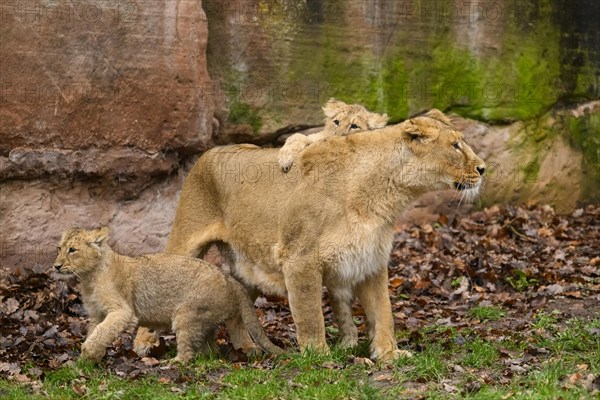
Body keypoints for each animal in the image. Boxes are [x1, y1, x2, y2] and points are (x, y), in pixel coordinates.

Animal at [135, 108, 482, 360]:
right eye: (455, 146)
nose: (483, 168)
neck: (384, 194)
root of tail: (211, 150)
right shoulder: (299, 258)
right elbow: (310, 313)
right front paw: (320, 357)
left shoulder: (371, 260)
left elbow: (383, 313)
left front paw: (389, 355)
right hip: (186, 239)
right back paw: (143, 343)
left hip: (248, 263)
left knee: (238, 304)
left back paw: (248, 348)